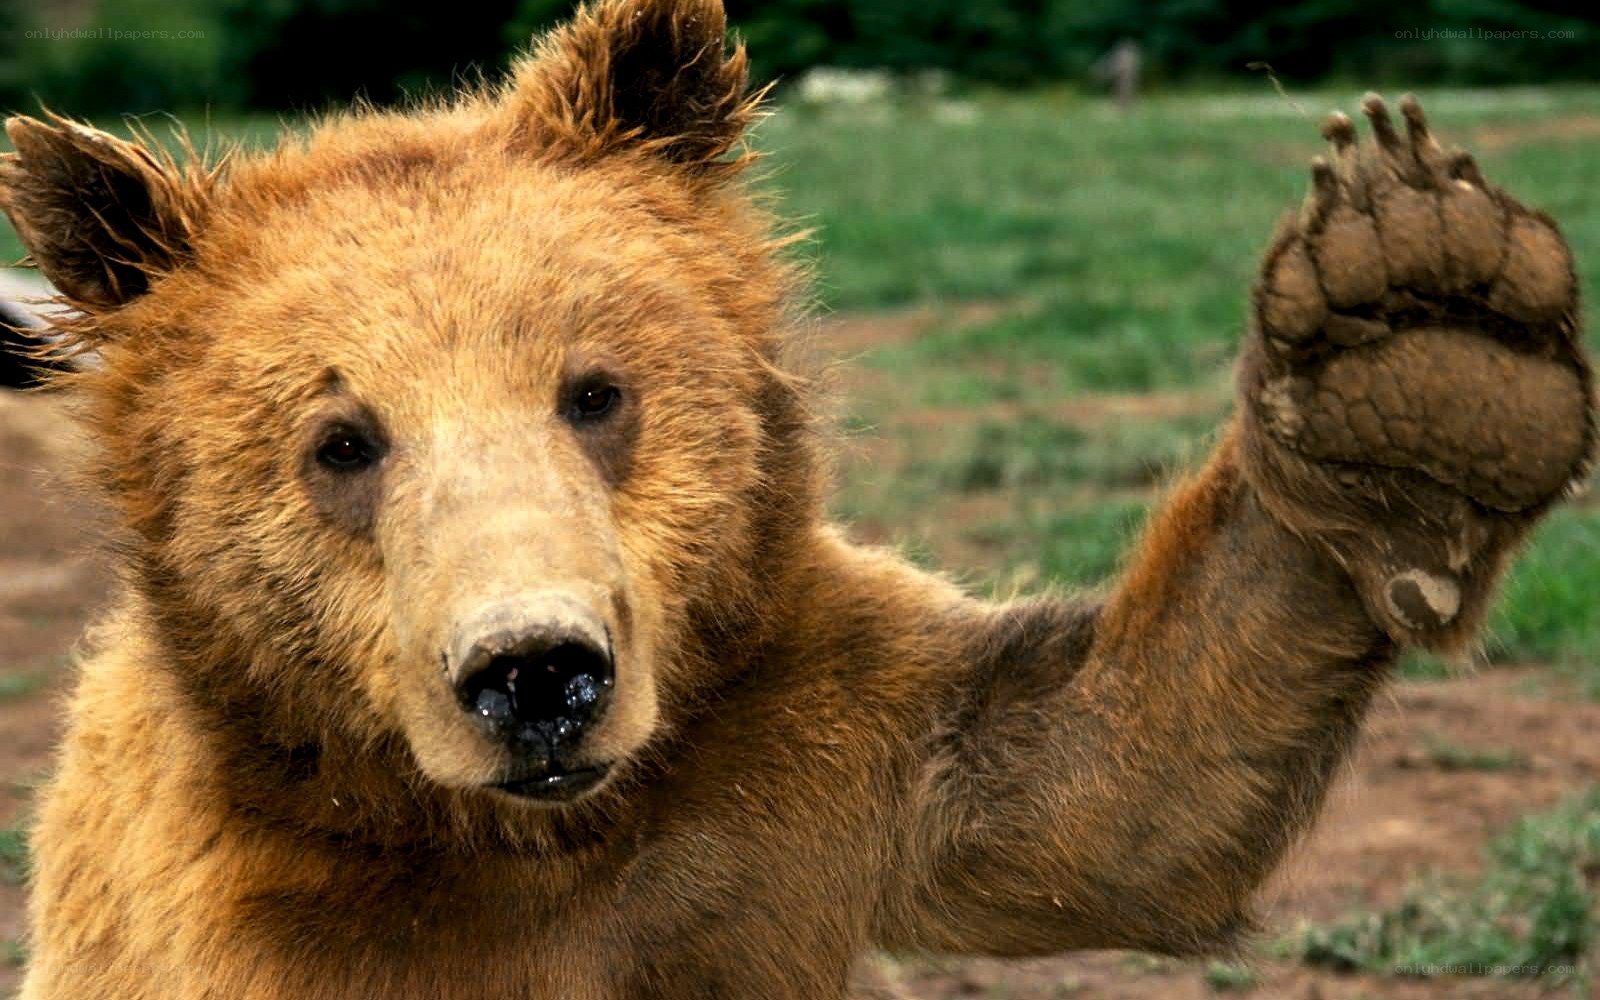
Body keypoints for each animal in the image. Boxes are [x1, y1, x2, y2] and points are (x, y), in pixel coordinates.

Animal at [2, 0, 1592, 997]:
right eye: (341, 439)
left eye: (596, 390)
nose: (537, 674)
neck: (520, 845)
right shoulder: (257, 914)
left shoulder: (792, 748)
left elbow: (1112, 785)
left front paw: (1421, 346)